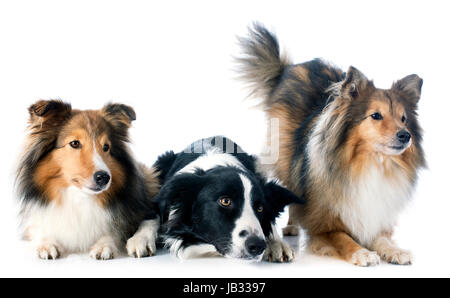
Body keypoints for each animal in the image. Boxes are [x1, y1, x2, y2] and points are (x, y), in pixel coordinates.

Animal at [15, 99, 160, 258]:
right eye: (75, 143)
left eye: (106, 147)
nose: (104, 177)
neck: (79, 197)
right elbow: (37, 227)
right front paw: (46, 244)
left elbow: (116, 229)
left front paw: (103, 244)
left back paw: (141, 241)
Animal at [237, 23, 424, 266]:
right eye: (376, 115)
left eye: (403, 119)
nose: (405, 136)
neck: (371, 165)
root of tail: (288, 68)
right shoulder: (324, 225)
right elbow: (343, 238)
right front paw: (362, 253)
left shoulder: (374, 215)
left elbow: (382, 238)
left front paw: (395, 250)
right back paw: (291, 227)